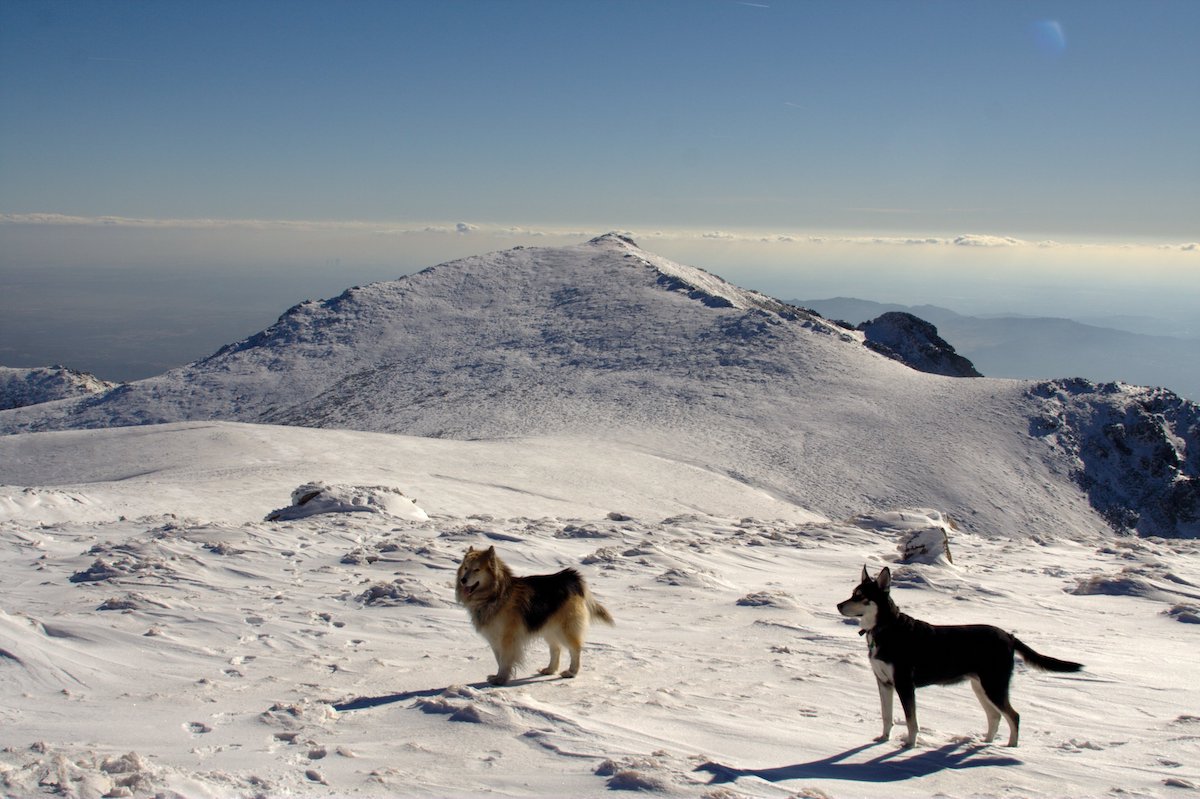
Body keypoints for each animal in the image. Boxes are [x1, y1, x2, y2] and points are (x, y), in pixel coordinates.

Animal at [840, 563, 1084, 743]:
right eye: (852, 593)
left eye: (860, 597)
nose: (838, 606)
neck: (885, 628)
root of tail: (1009, 636)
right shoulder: (884, 682)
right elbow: (886, 715)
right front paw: (883, 739)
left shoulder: (904, 684)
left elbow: (911, 720)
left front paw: (909, 745)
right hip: (980, 686)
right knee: (995, 715)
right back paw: (986, 743)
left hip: (994, 685)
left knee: (1013, 716)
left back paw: (1009, 748)